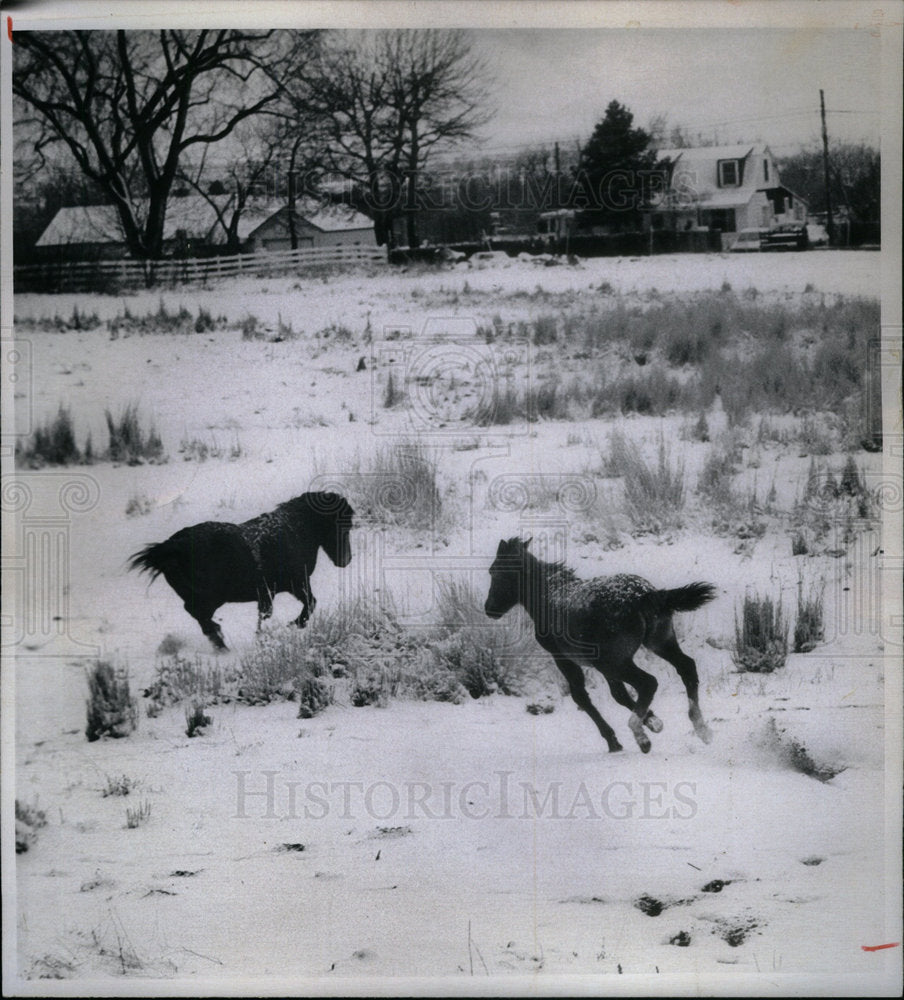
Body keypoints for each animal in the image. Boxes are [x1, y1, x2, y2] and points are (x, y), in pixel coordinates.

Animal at [129, 490, 354, 648]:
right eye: (342, 525)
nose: (346, 560)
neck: (295, 530)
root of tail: (171, 547)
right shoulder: (296, 584)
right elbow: (309, 604)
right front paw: (292, 625)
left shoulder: (273, 592)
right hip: (211, 598)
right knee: (199, 615)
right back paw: (220, 641)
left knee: (199, 616)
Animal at [484, 540, 716, 752]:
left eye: (494, 571)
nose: (489, 608)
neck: (548, 597)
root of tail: (644, 595)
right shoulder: (599, 664)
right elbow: (619, 695)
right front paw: (653, 721)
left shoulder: (564, 658)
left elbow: (582, 697)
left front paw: (615, 740)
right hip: (658, 643)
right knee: (686, 667)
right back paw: (702, 729)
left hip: (613, 661)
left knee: (648, 682)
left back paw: (640, 736)